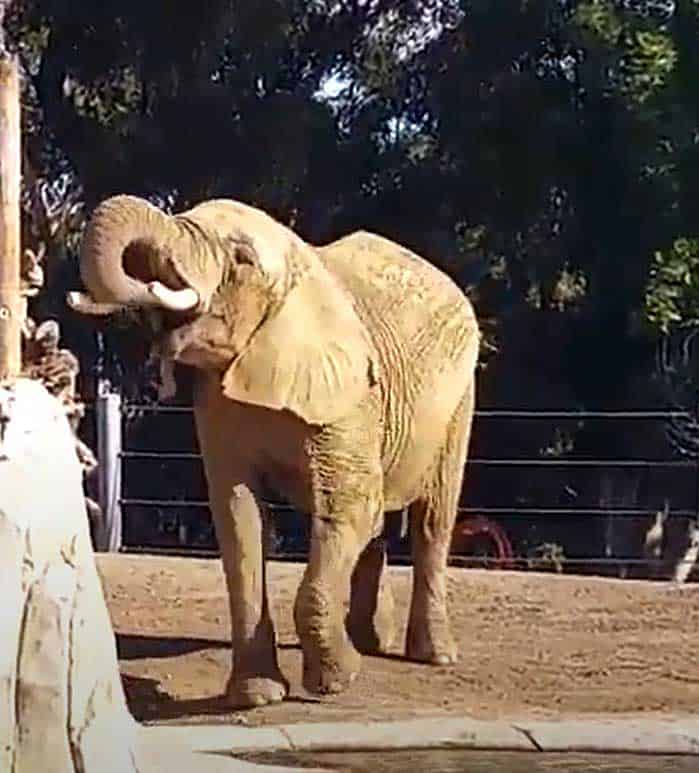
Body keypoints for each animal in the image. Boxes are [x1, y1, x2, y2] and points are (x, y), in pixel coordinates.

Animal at [68, 196, 478, 708]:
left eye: (241, 258)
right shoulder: (219, 404)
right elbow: (239, 518)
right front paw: (258, 696)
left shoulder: (348, 396)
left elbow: (349, 507)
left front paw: (337, 682)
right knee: (380, 525)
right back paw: (369, 642)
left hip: (459, 401)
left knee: (431, 522)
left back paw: (434, 656)